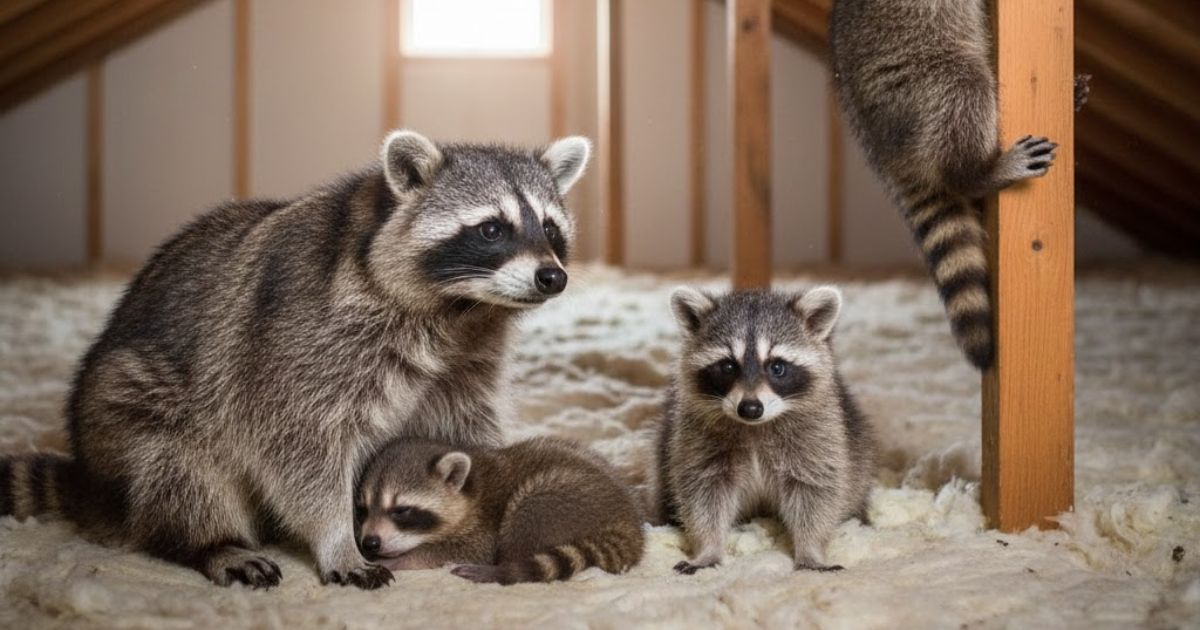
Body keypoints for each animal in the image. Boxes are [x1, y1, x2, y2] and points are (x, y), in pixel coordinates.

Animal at [0, 130, 590, 590]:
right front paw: (337, 539)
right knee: (174, 465)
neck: (459, 309)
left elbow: (461, 426)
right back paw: (209, 541)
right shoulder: (300, 338)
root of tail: (92, 482)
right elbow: (297, 445)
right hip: (125, 405)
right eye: (492, 228)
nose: (552, 276)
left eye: (549, 227)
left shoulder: (468, 357)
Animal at [355, 436, 645, 585]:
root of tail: (627, 522)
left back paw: (504, 568)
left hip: (558, 497)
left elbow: (463, 550)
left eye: (401, 510)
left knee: (526, 516)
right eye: (363, 509)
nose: (370, 542)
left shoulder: (484, 524)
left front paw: (401, 559)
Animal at [655, 287, 877, 573]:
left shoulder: (819, 436)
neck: (755, 427)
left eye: (777, 367)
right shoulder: (697, 439)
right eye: (728, 366)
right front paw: (707, 549)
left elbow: (816, 494)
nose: (750, 408)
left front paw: (811, 550)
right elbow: (703, 495)